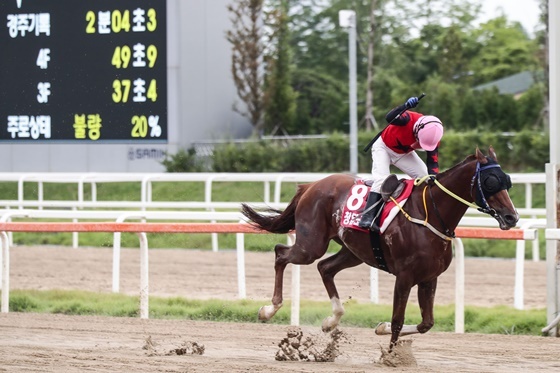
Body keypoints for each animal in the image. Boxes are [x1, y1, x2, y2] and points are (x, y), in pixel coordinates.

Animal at [238, 145, 520, 348]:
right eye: (491, 181)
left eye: (507, 181)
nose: (512, 217)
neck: (431, 215)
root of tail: (311, 185)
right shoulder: (405, 277)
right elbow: (398, 320)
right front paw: (391, 356)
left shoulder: (429, 277)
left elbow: (426, 323)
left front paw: (380, 328)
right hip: (311, 244)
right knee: (281, 254)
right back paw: (269, 309)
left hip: (353, 251)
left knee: (325, 268)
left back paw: (332, 319)